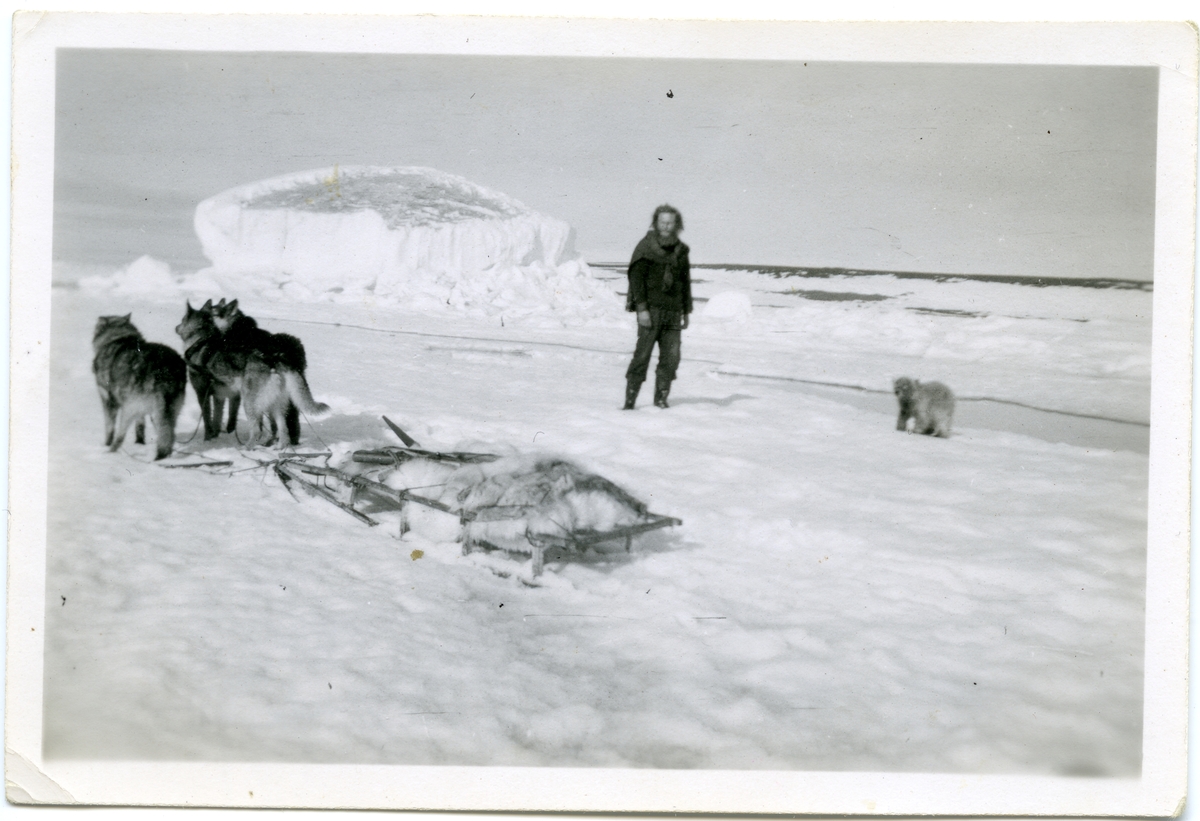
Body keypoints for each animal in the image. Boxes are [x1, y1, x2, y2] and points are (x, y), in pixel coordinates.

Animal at [91, 314, 184, 460]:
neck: (118, 338)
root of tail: (165, 369)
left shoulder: (108, 401)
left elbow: (110, 429)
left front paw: (106, 444)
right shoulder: (141, 411)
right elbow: (140, 427)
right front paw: (139, 443)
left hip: (129, 409)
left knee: (120, 437)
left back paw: (110, 452)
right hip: (168, 411)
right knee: (169, 435)